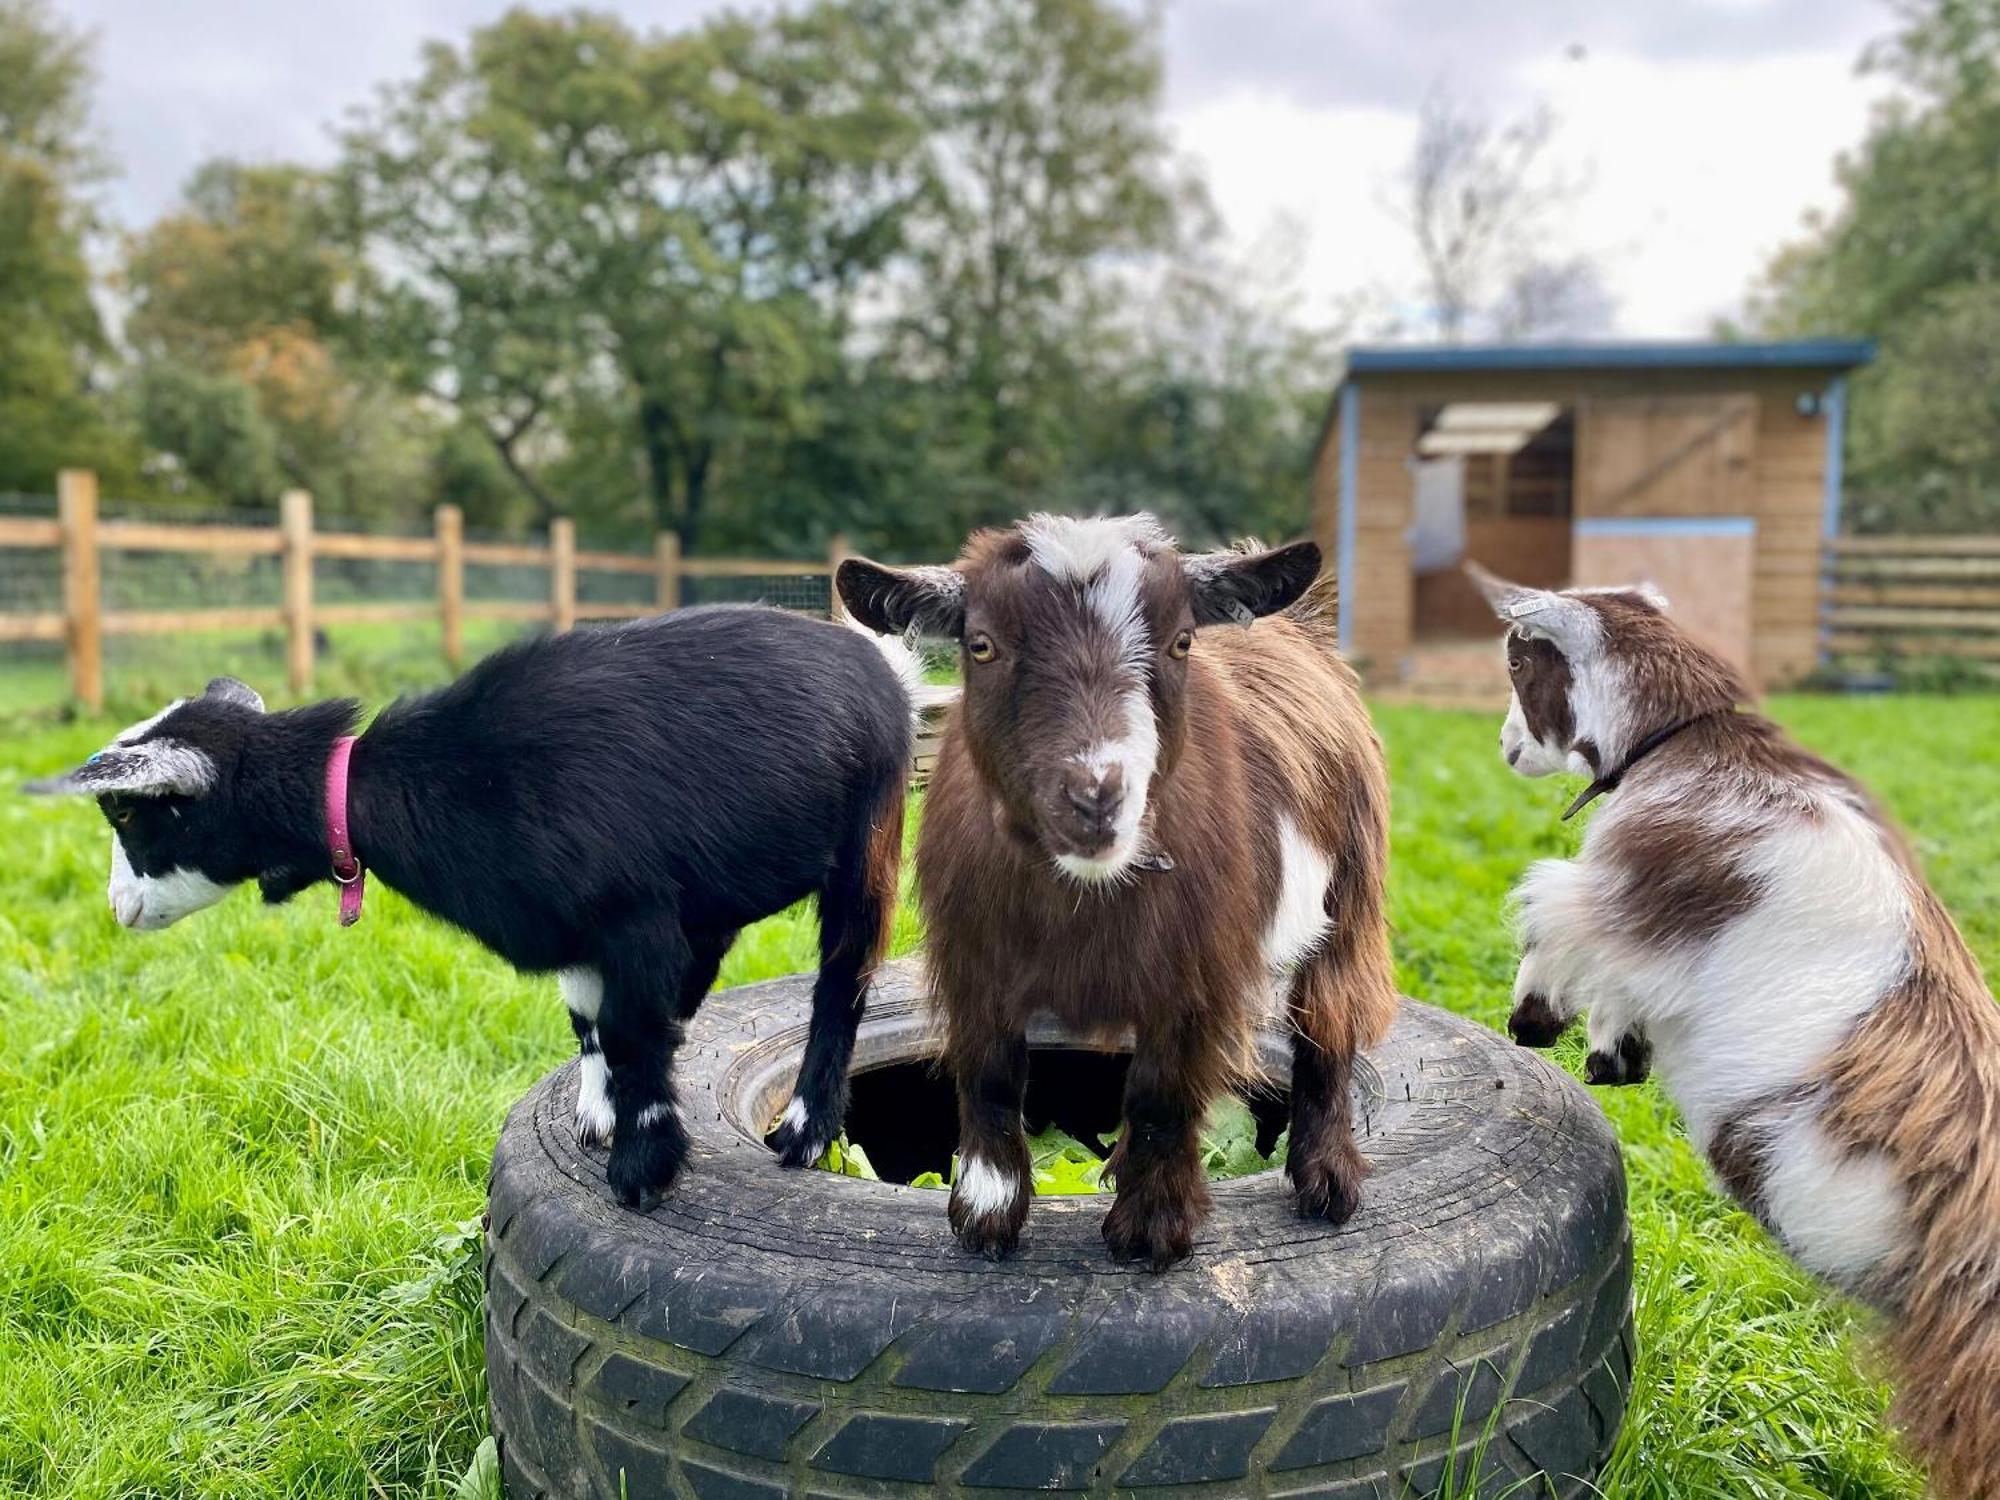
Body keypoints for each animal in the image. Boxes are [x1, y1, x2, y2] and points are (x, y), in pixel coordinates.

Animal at [27, 608, 916, 1208]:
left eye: (126, 812)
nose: (117, 908)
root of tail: (879, 664)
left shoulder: (635, 920)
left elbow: (632, 1032)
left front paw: (641, 1169)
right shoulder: (595, 934)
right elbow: (592, 1021)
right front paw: (599, 1114)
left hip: (867, 838)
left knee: (842, 979)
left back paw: (804, 1128)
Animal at [836, 516, 1400, 1272]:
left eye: (1182, 641)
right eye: (981, 645)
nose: (1097, 797)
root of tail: (1299, 625)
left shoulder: (1197, 977)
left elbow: (1162, 1093)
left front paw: (1150, 1232)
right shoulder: (971, 964)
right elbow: (990, 1078)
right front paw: (986, 1218)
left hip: (1352, 893)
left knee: (1328, 1024)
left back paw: (1328, 1182)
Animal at [1472, 568, 2000, 1500]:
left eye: (1518, 663)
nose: (1505, 747)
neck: (1692, 740)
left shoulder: (1622, 896)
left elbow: (1550, 909)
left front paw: (1542, 1023)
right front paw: (1612, 1056)